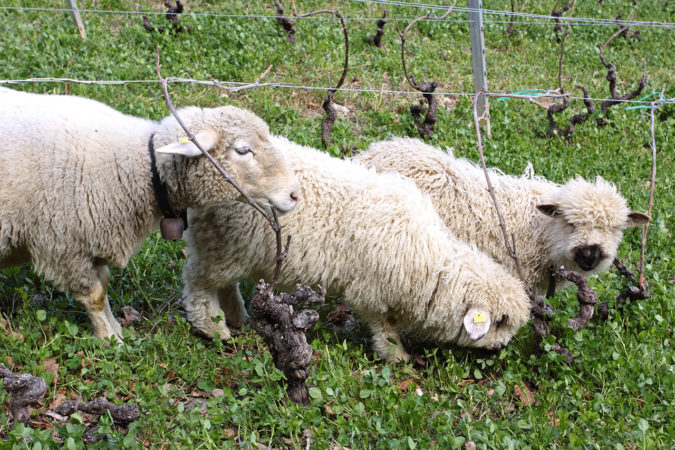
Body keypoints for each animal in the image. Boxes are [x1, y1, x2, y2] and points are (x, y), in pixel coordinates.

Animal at [0, 88, 302, 342]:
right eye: (242, 150)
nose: (294, 194)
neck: (141, 168)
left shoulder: (91, 241)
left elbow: (104, 288)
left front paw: (116, 328)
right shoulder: (63, 247)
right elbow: (94, 297)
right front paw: (109, 340)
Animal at [182, 135, 532, 364]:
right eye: (500, 321)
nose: (500, 349)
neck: (428, 260)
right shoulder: (371, 291)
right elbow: (384, 328)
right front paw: (397, 357)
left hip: (233, 248)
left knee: (223, 284)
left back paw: (237, 317)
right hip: (220, 245)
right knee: (198, 285)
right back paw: (214, 329)